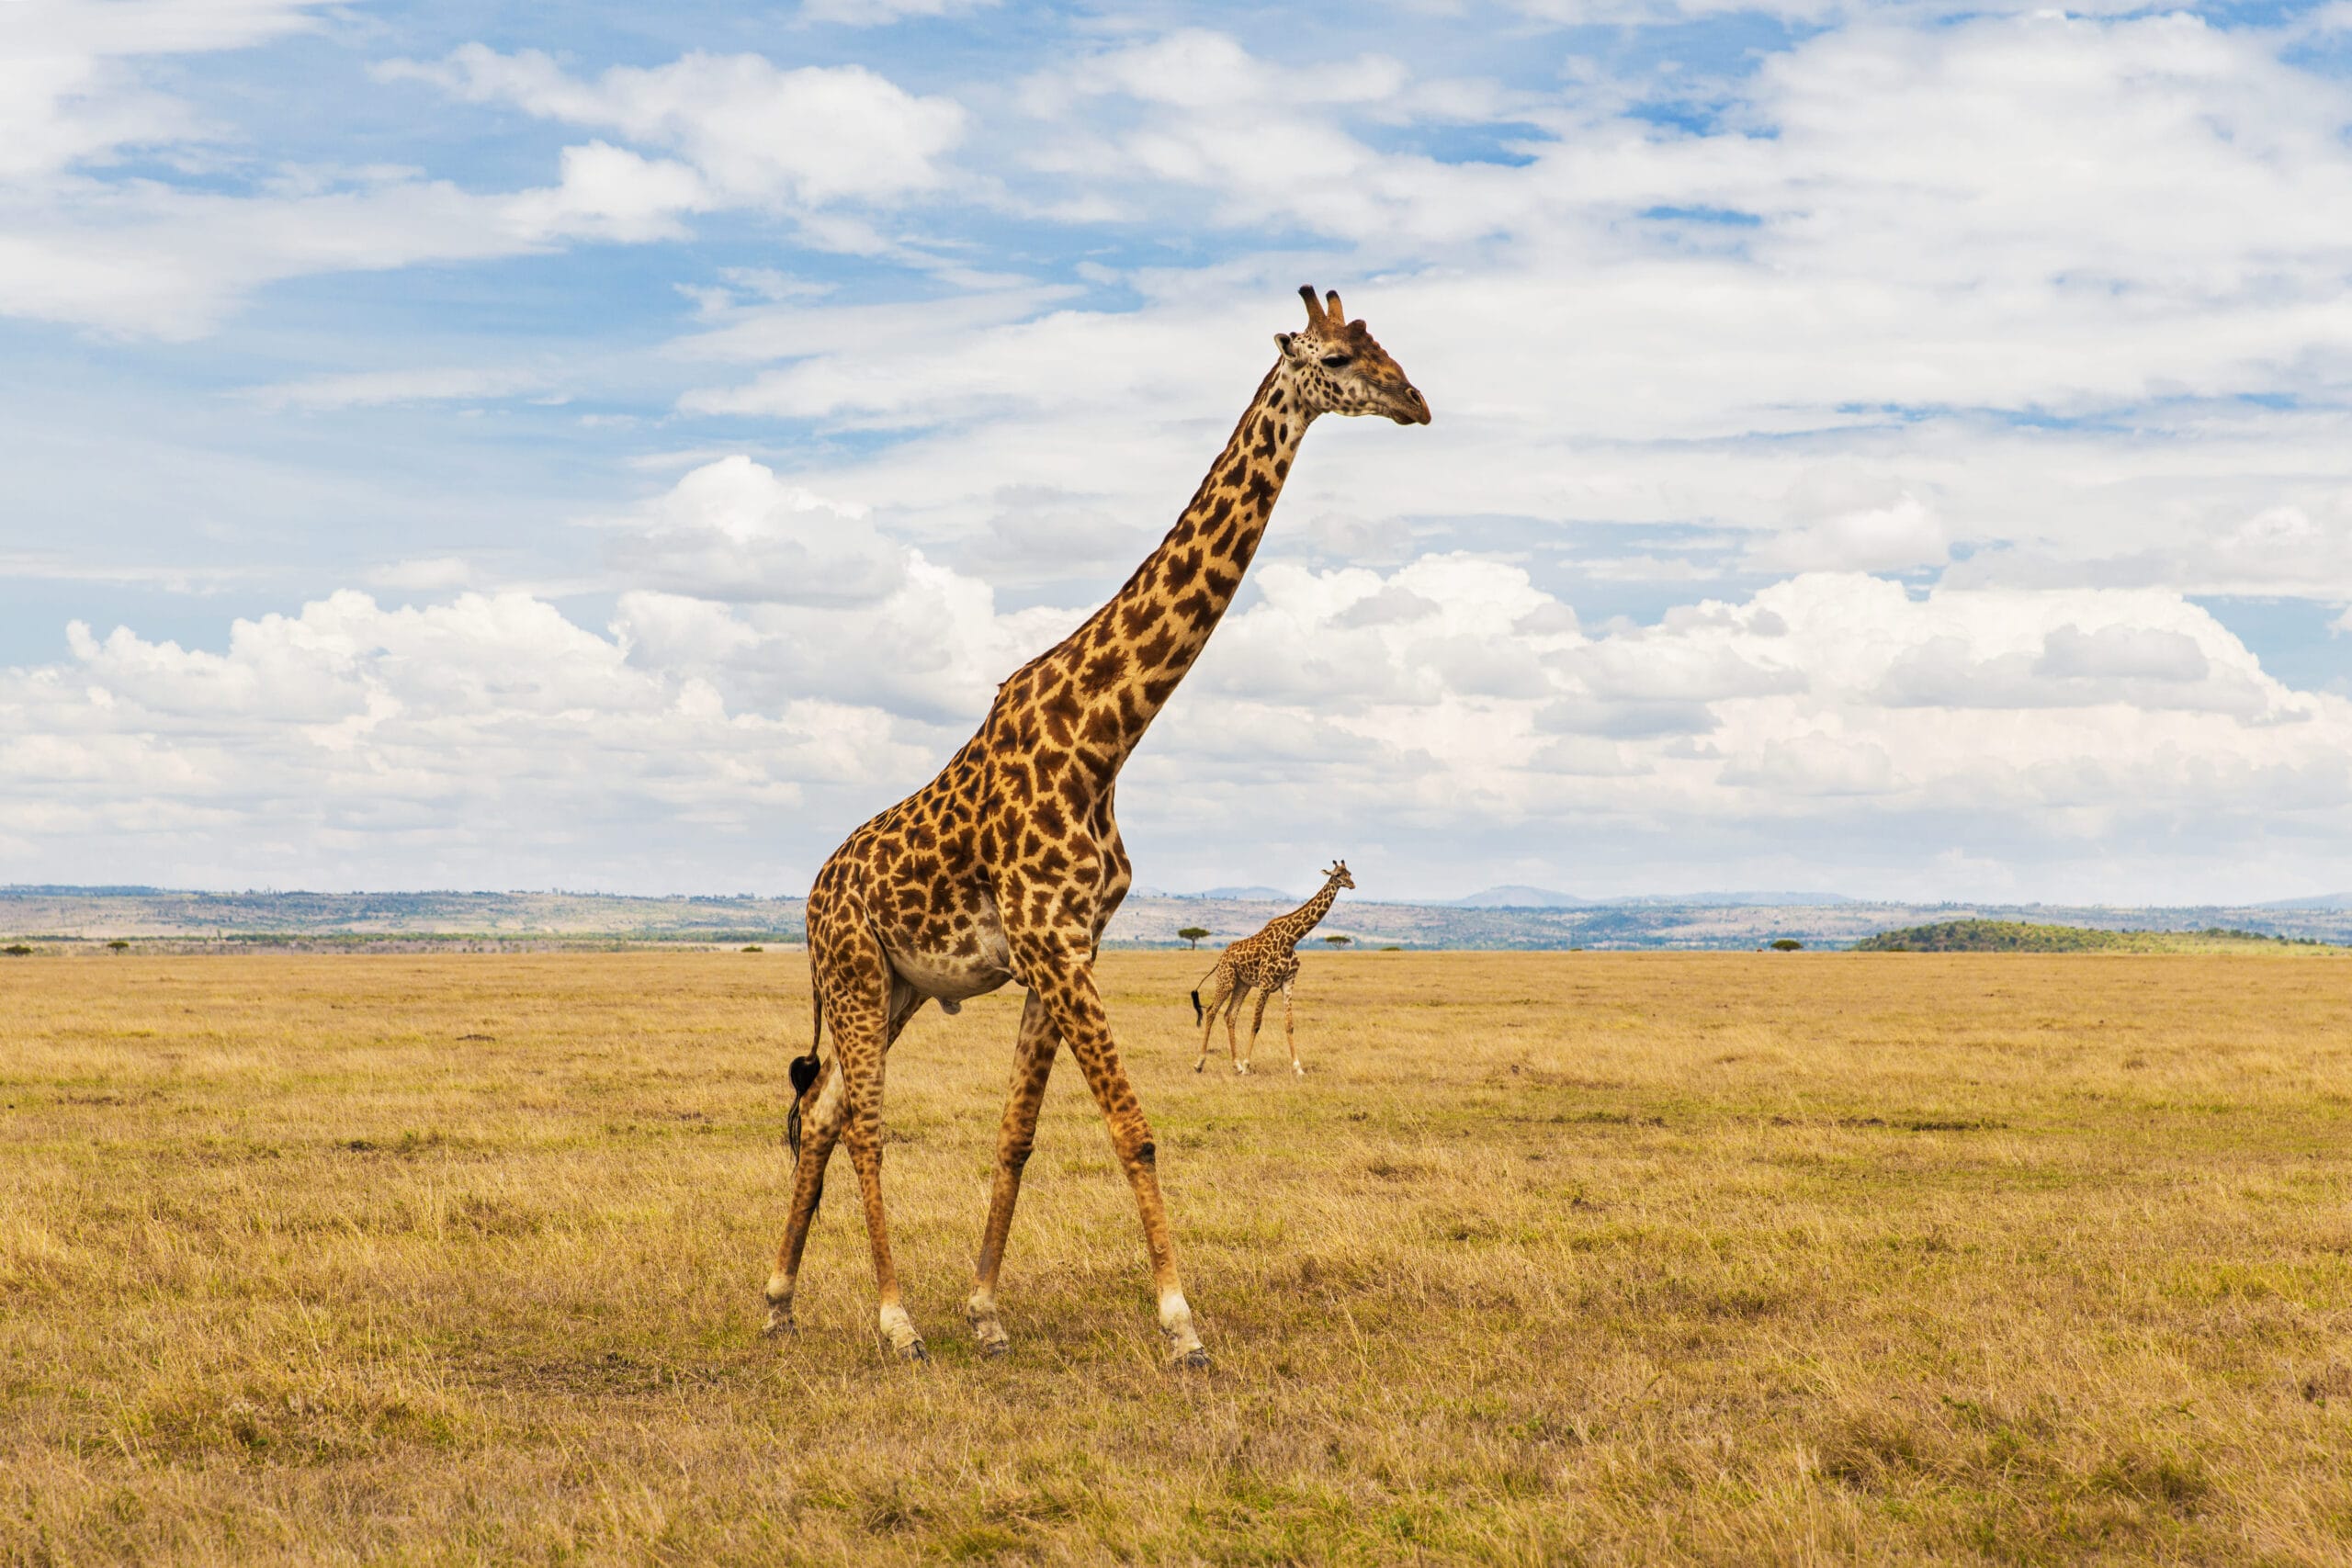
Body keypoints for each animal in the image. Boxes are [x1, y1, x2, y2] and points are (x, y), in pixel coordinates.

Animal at [1188, 862, 1355, 1076]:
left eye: (1349, 873)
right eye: (1337, 875)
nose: (1352, 884)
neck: (1291, 939)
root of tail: (1221, 957)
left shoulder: (1288, 982)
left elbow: (1289, 1024)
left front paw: (1298, 1068)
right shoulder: (1265, 983)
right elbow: (1256, 1023)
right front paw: (1248, 1065)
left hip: (1242, 984)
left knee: (1230, 1015)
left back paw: (1235, 1064)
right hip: (1227, 980)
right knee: (1211, 1011)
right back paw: (1200, 1063)